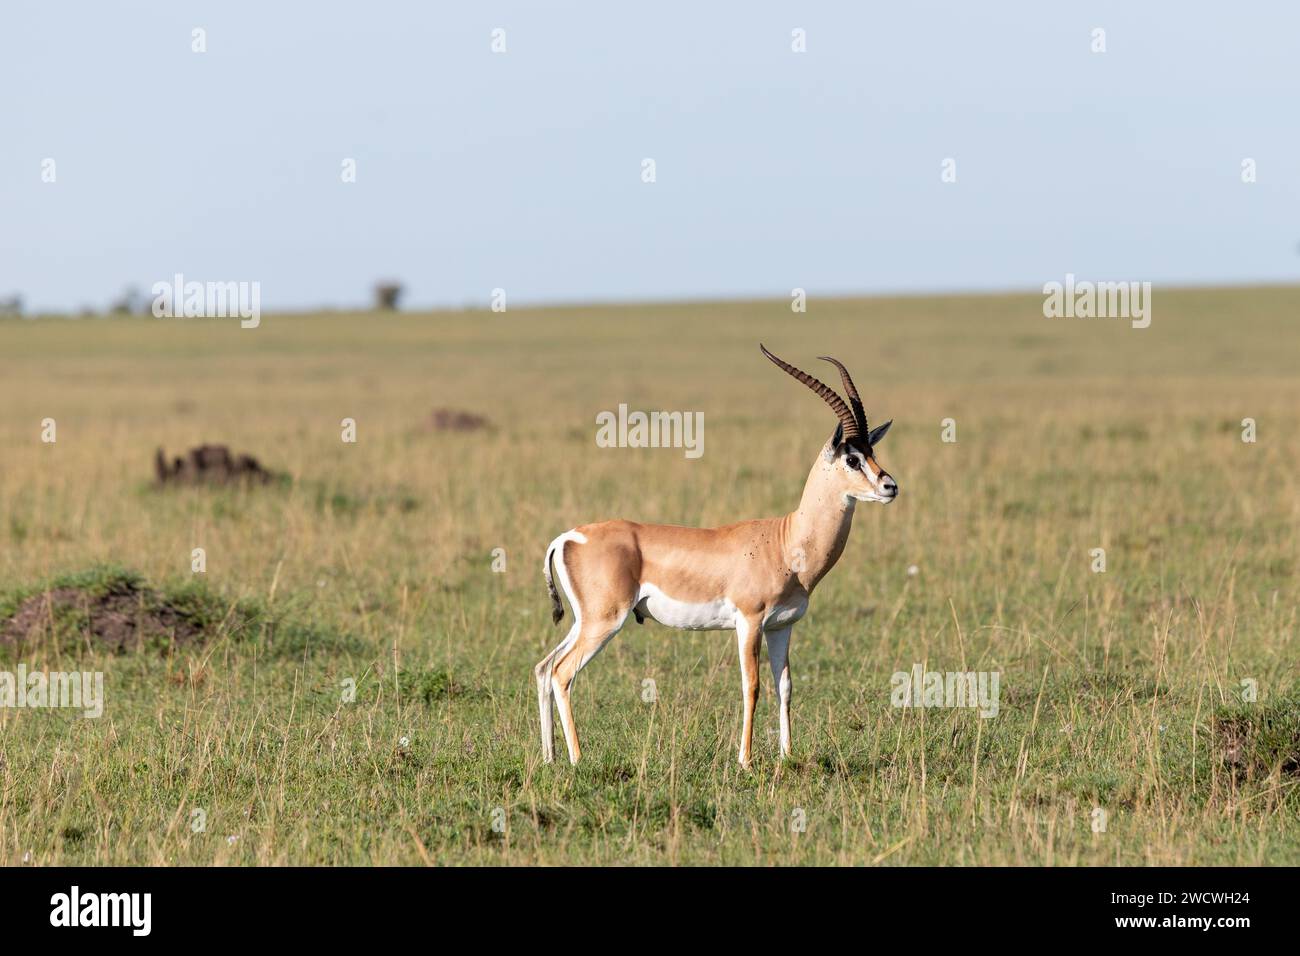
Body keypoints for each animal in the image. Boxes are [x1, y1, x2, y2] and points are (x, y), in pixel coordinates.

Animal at [535, 345, 898, 767]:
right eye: (851, 459)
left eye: (872, 452)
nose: (890, 486)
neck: (786, 541)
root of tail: (569, 536)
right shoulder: (749, 622)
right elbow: (751, 686)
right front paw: (745, 760)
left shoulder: (782, 626)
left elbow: (785, 686)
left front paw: (787, 756)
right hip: (604, 621)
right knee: (562, 672)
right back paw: (578, 758)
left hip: (585, 620)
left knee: (544, 668)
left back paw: (550, 757)